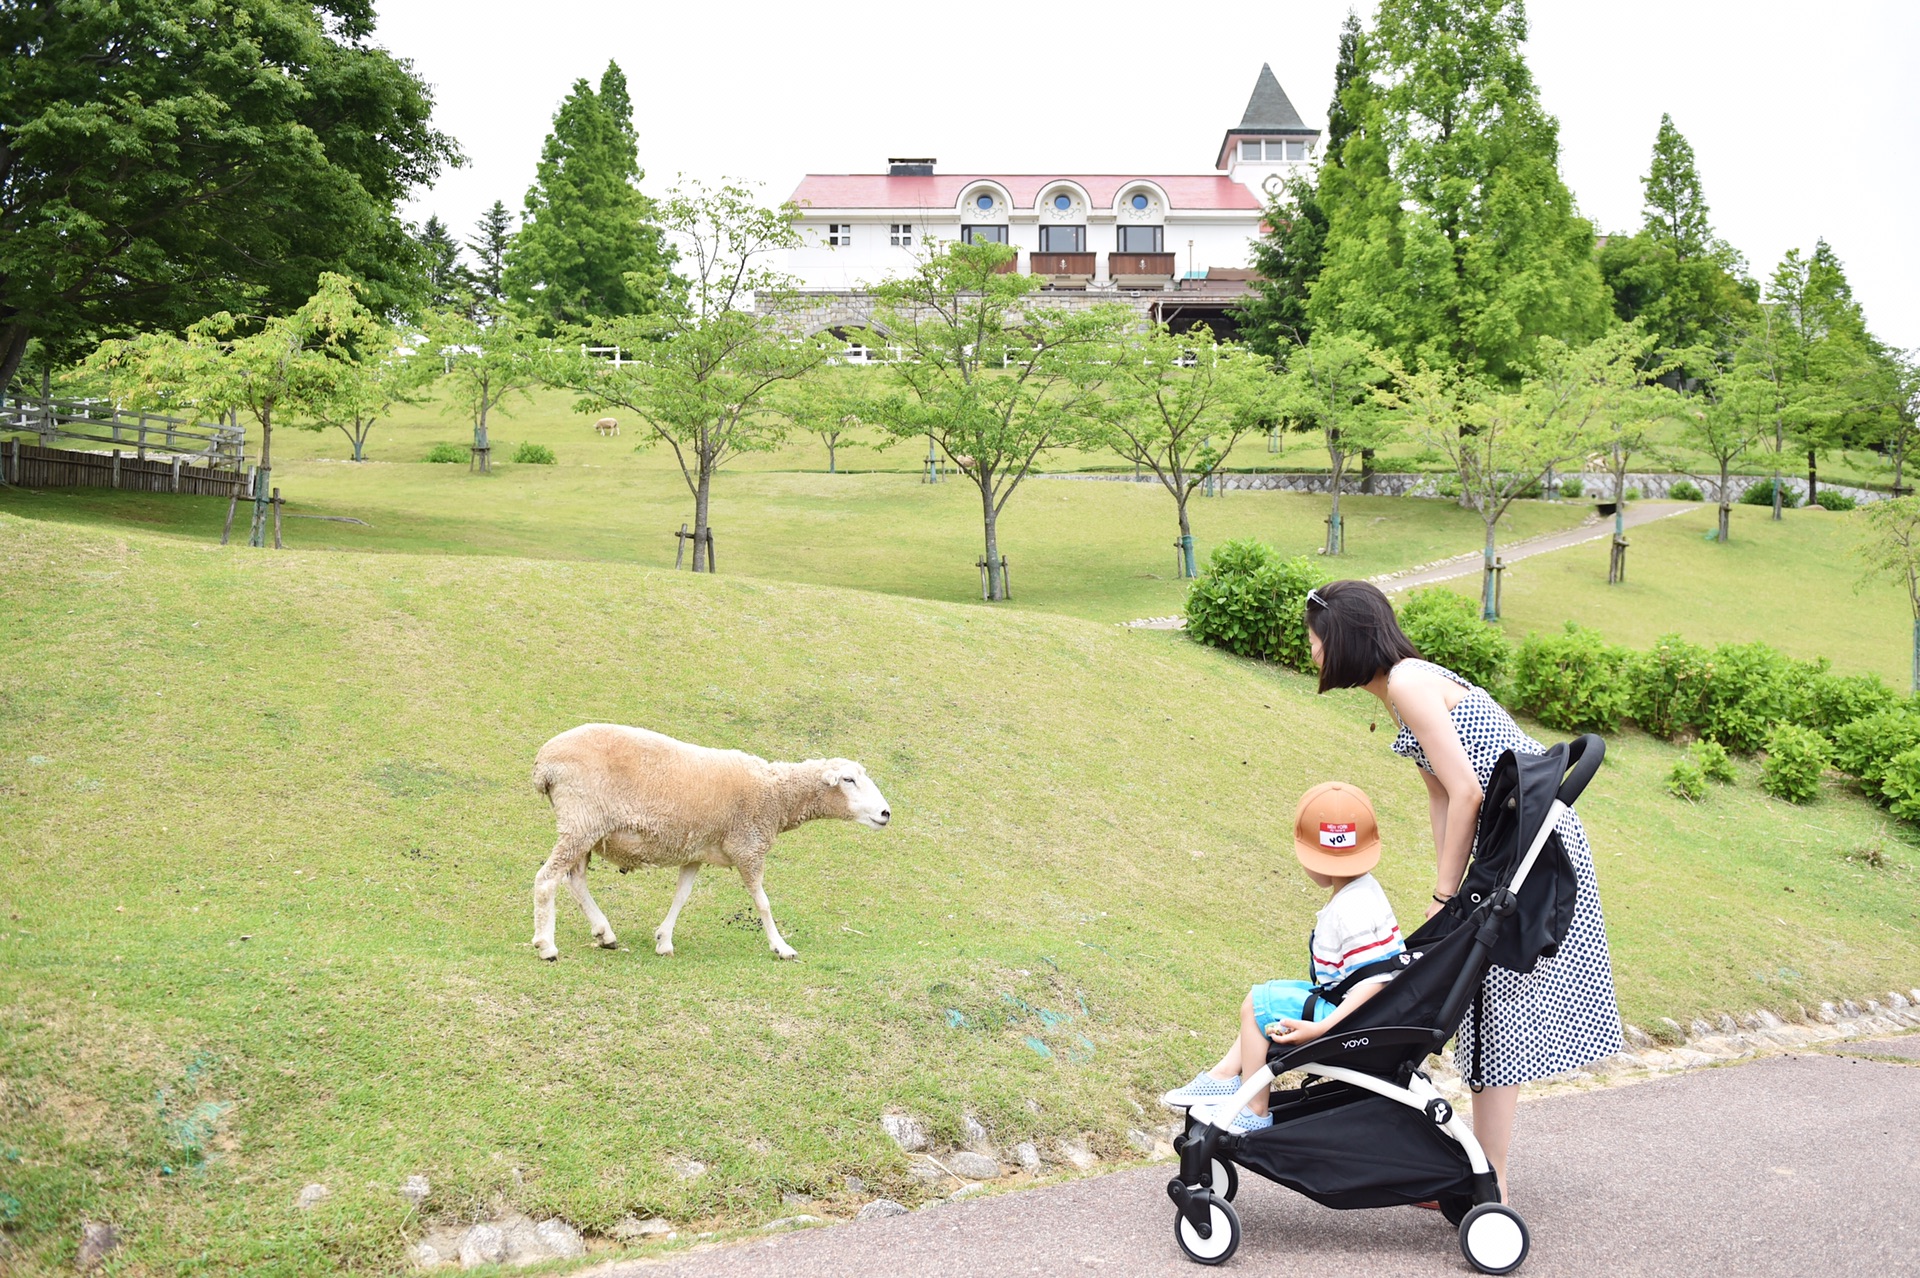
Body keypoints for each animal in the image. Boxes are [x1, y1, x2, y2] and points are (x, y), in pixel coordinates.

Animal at [533, 725, 890, 955]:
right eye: (848, 780)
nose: (886, 813)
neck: (777, 795)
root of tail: (543, 765)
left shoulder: (695, 853)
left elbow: (681, 896)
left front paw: (664, 940)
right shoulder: (749, 848)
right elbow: (763, 902)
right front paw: (781, 946)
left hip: (585, 827)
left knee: (575, 880)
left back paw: (604, 933)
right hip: (582, 820)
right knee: (546, 879)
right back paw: (546, 945)